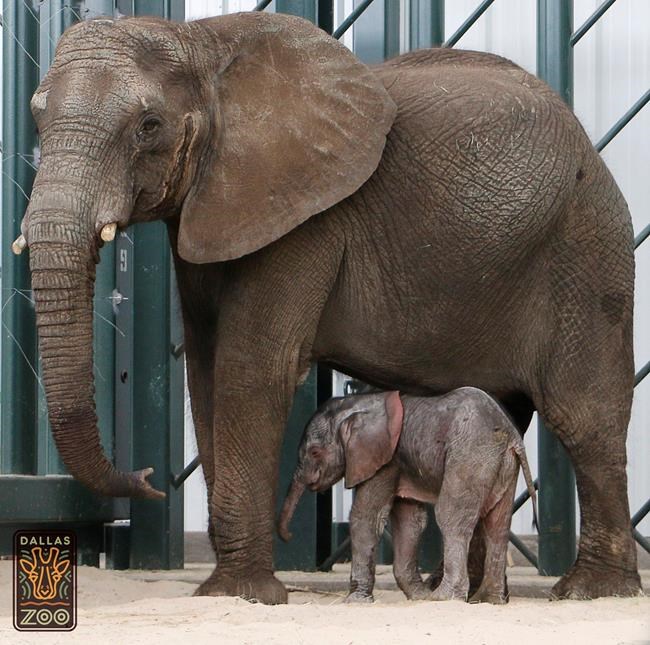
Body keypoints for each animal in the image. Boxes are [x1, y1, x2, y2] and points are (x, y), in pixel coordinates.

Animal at [278, 389, 538, 604]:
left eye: (315, 452)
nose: (289, 536)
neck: (358, 403)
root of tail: (512, 435)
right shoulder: (399, 462)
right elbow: (409, 522)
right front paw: (418, 596)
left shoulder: (384, 459)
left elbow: (367, 517)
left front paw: (355, 601)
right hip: (501, 463)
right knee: (497, 525)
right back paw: (489, 600)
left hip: (470, 457)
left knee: (451, 517)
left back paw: (444, 598)